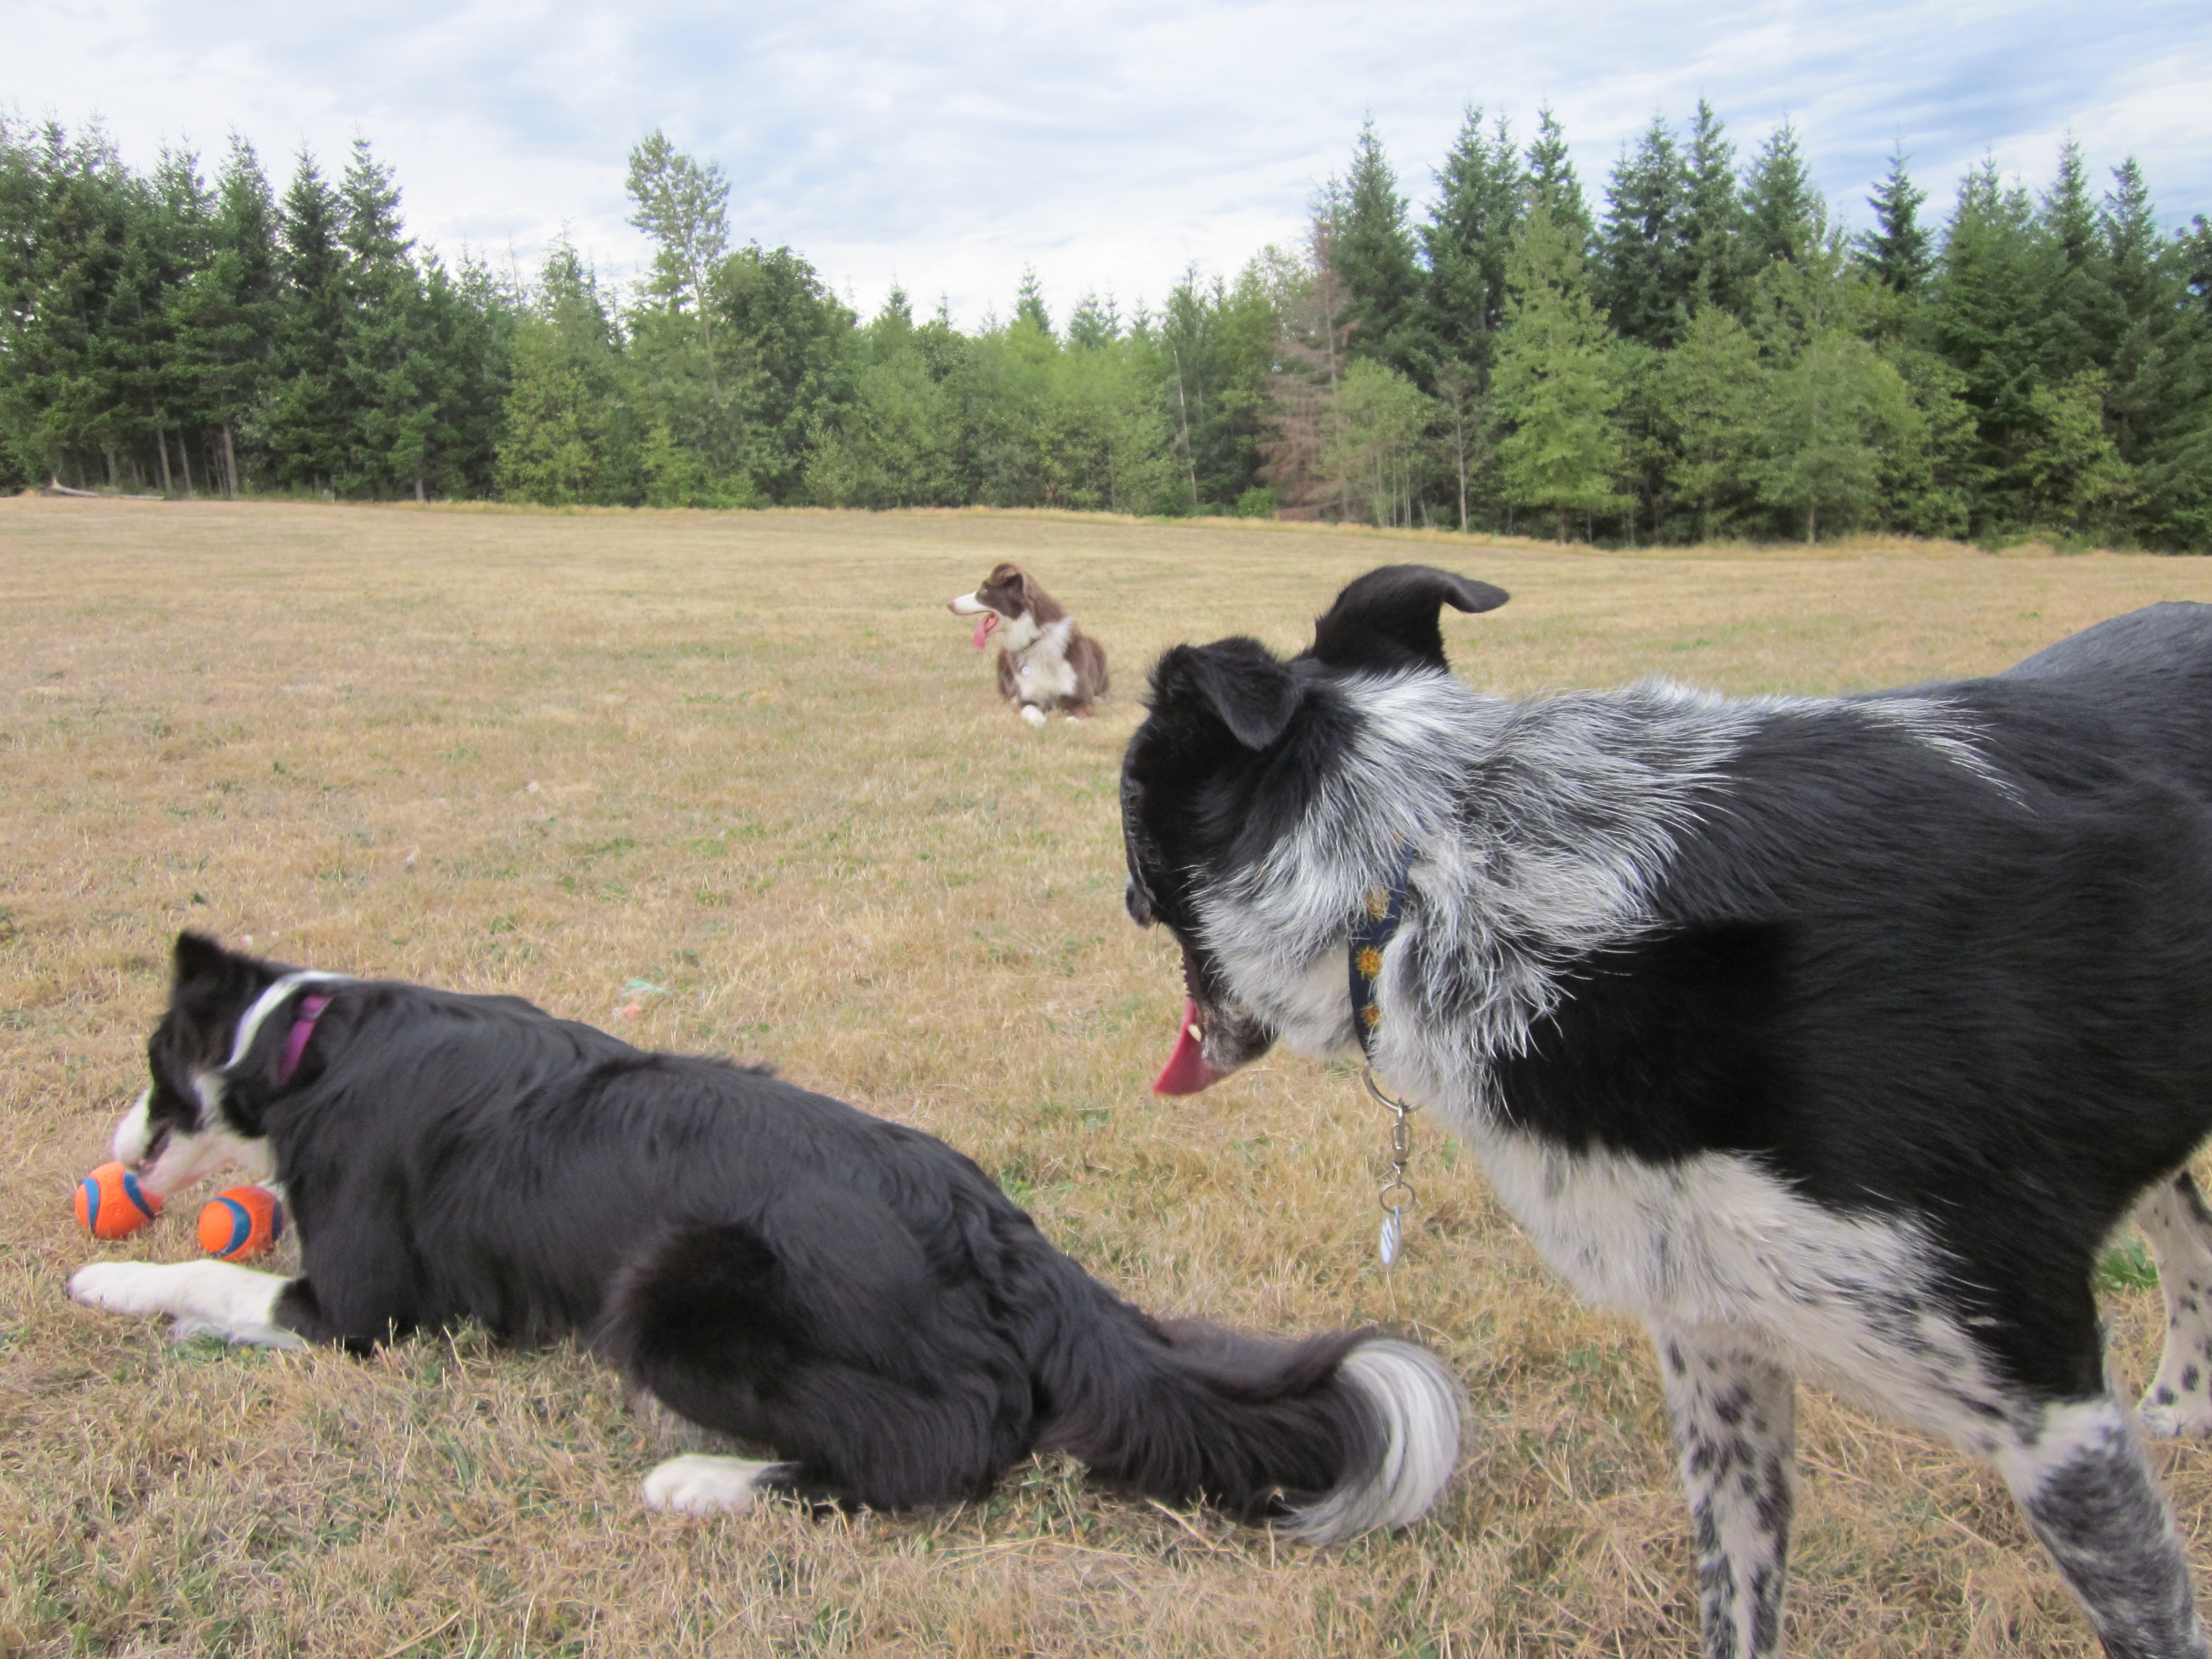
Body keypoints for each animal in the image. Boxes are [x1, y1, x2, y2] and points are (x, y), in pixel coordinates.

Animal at [67, 931, 1461, 1536]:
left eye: (148, 1066)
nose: (111, 1153)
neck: (301, 1045)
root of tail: (998, 1232)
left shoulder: (366, 1307)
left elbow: (209, 1268)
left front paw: (107, 1275)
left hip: (665, 1286)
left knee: (943, 1450)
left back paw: (703, 1479)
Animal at [948, 563, 1110, 725]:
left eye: (984, 590)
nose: (949, 604)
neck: (1036, 642)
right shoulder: (1028, 699)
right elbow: (1032, 713)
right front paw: (1040, 722)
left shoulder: (1080, 697)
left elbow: (1078, 715)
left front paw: (1072, 721)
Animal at [1117, 565, 2212, 1658]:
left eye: (1129, 800)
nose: (1124, 898)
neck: (1442, 866)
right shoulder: (1721, 1355)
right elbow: (1735, 1607)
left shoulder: (2053, 1416)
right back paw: (2180, 1408)